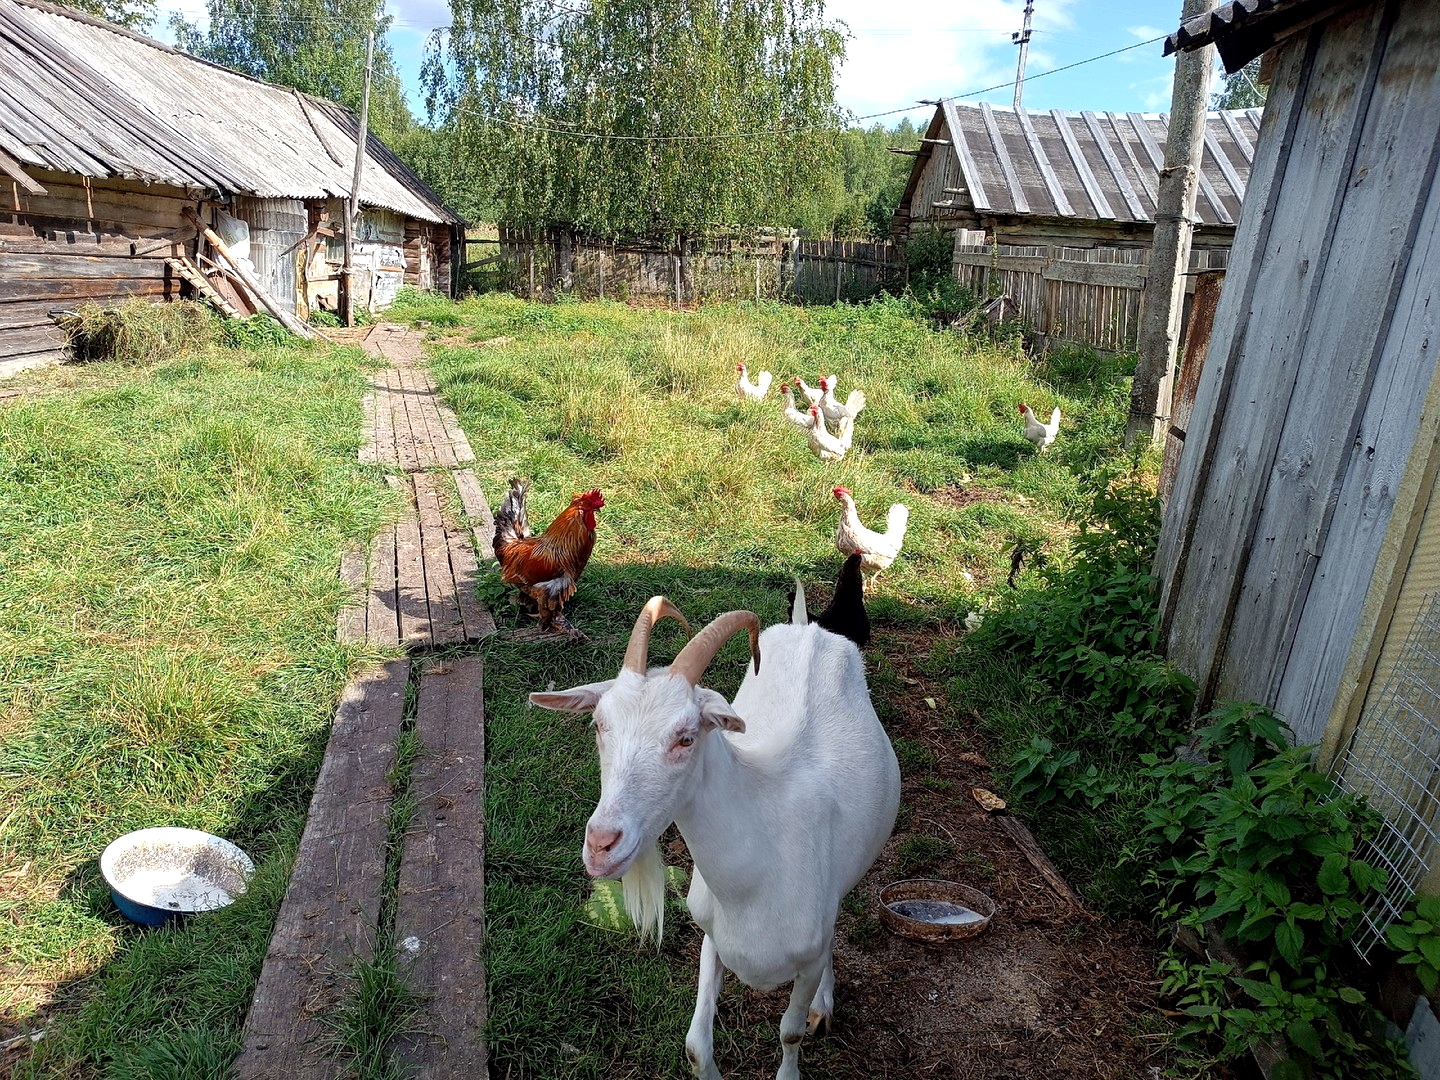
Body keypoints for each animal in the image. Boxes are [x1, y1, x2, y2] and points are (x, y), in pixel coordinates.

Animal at [529, 596, 898, 1077]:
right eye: (597, 724)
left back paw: (824, 1005)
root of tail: (808, 628)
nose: (601, 845)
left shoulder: (808, 957)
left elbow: (790, 1032)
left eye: (686, 738)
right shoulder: (712, 937)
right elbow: (695, 1046)